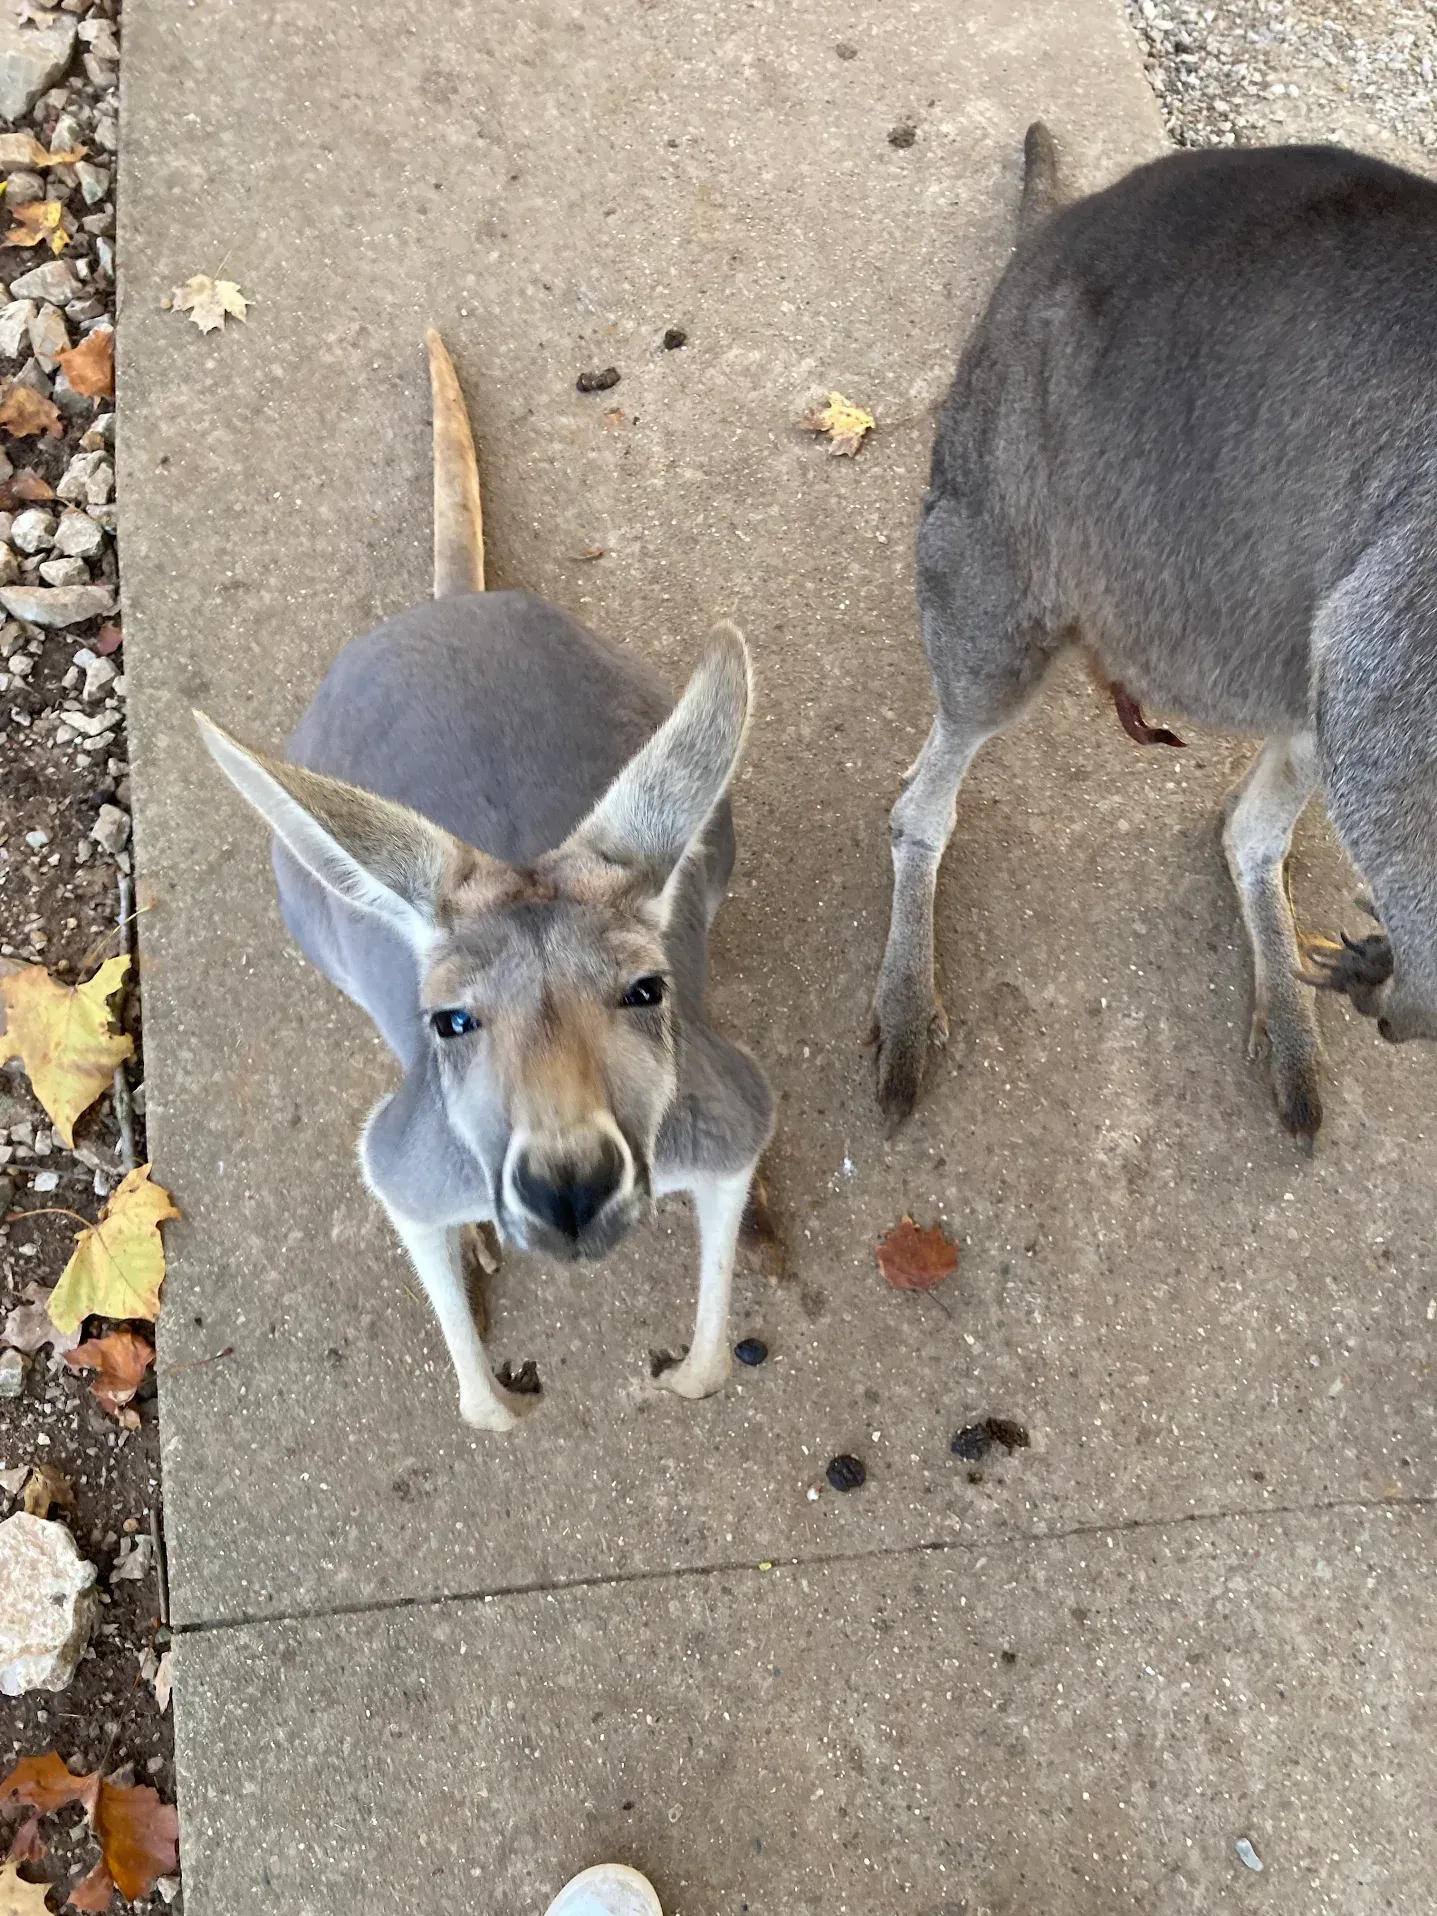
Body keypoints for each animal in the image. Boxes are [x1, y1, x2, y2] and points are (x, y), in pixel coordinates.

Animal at [196, 333, 774, 1431]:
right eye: (450, 1022)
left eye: (648, 991)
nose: (569, 1191)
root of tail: (450, 604)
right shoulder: (407, 1162)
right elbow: (473, 1388)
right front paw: (502, 1400)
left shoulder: (724, 1118)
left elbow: (715, 1333)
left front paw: (680, 1370)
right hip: (306, 903)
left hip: (706, 822)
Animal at [872, 127, 1437, 1145]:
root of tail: (1051, 233)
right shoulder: (1411, 604)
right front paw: (1399, 986)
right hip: (998, 529)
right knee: (929, 783)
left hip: (1301, 642)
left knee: (1252, 827)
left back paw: (1298, 1021)